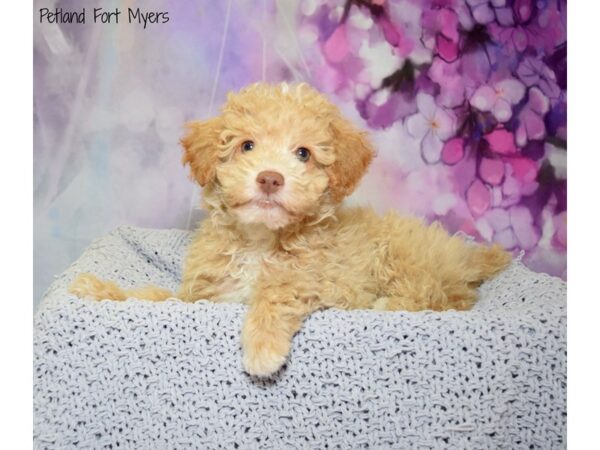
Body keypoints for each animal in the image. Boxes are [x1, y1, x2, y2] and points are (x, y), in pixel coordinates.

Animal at [71, 83, 510, 376]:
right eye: (247, 146)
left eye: (303, 153)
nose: (270, 178)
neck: (259, 240)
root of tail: (463, 254)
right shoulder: (204, 297)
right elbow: (156, 297)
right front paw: (100, 290)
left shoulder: (327, 280)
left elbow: (281, 289)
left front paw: (262, 346)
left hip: (403, 258)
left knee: (437, 296)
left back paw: (389, 304)